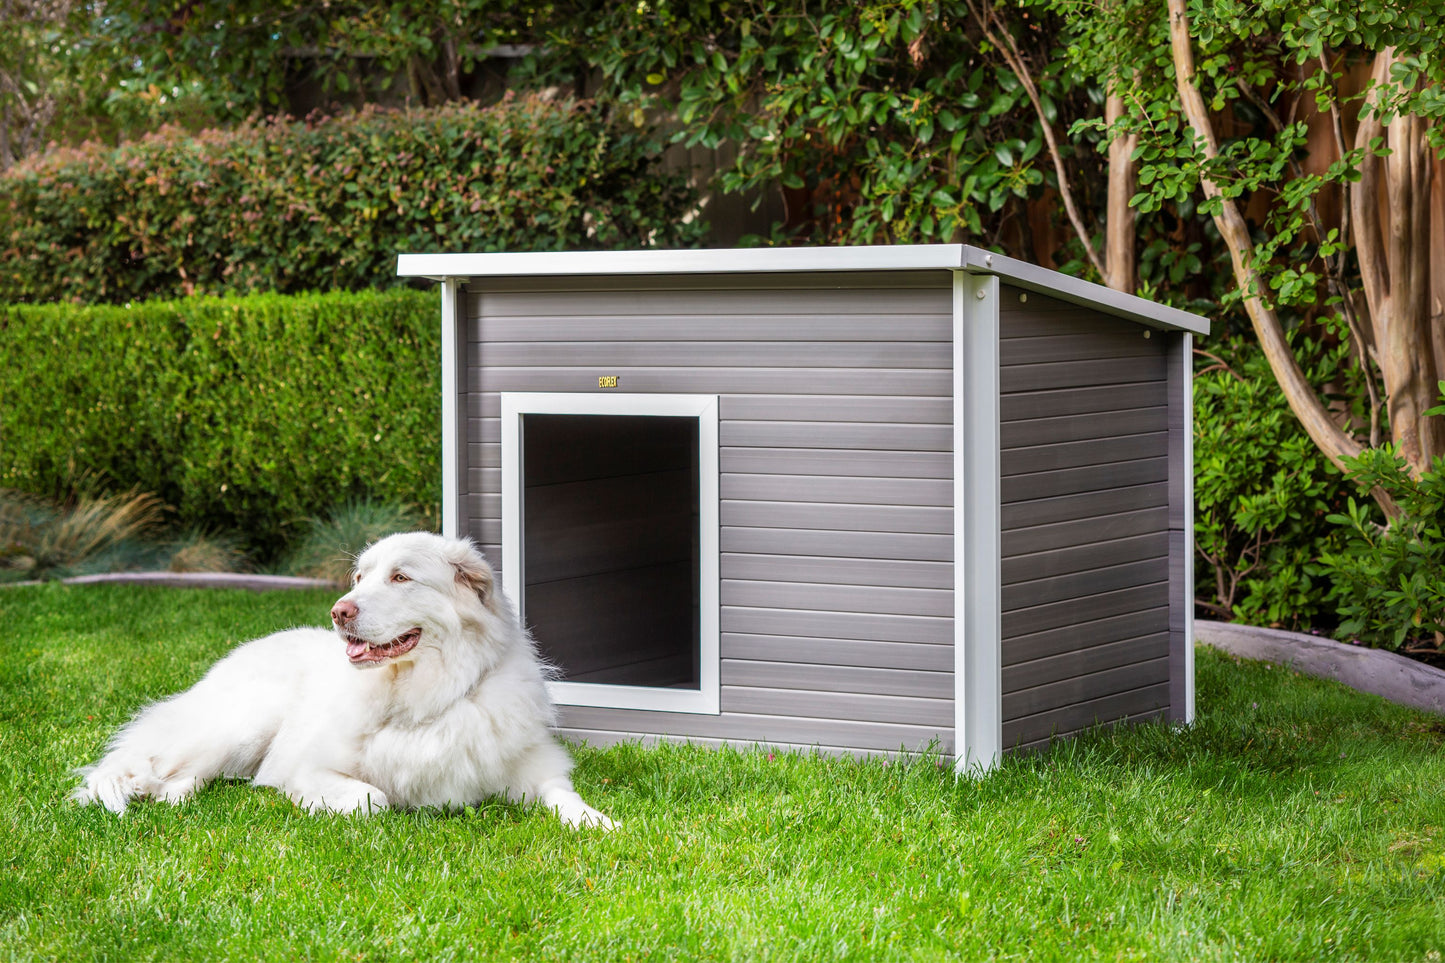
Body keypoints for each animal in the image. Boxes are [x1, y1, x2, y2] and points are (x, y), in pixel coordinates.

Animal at [70, 532, 612, 827]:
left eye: (400, 577)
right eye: (359, 578)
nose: (339, 611)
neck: (426, 696)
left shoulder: (535, 767)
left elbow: (563, 796)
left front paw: (599, 823)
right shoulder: (307, 767)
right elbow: (373, 799)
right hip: (246, 725)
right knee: (167, 764)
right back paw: (158, 791)